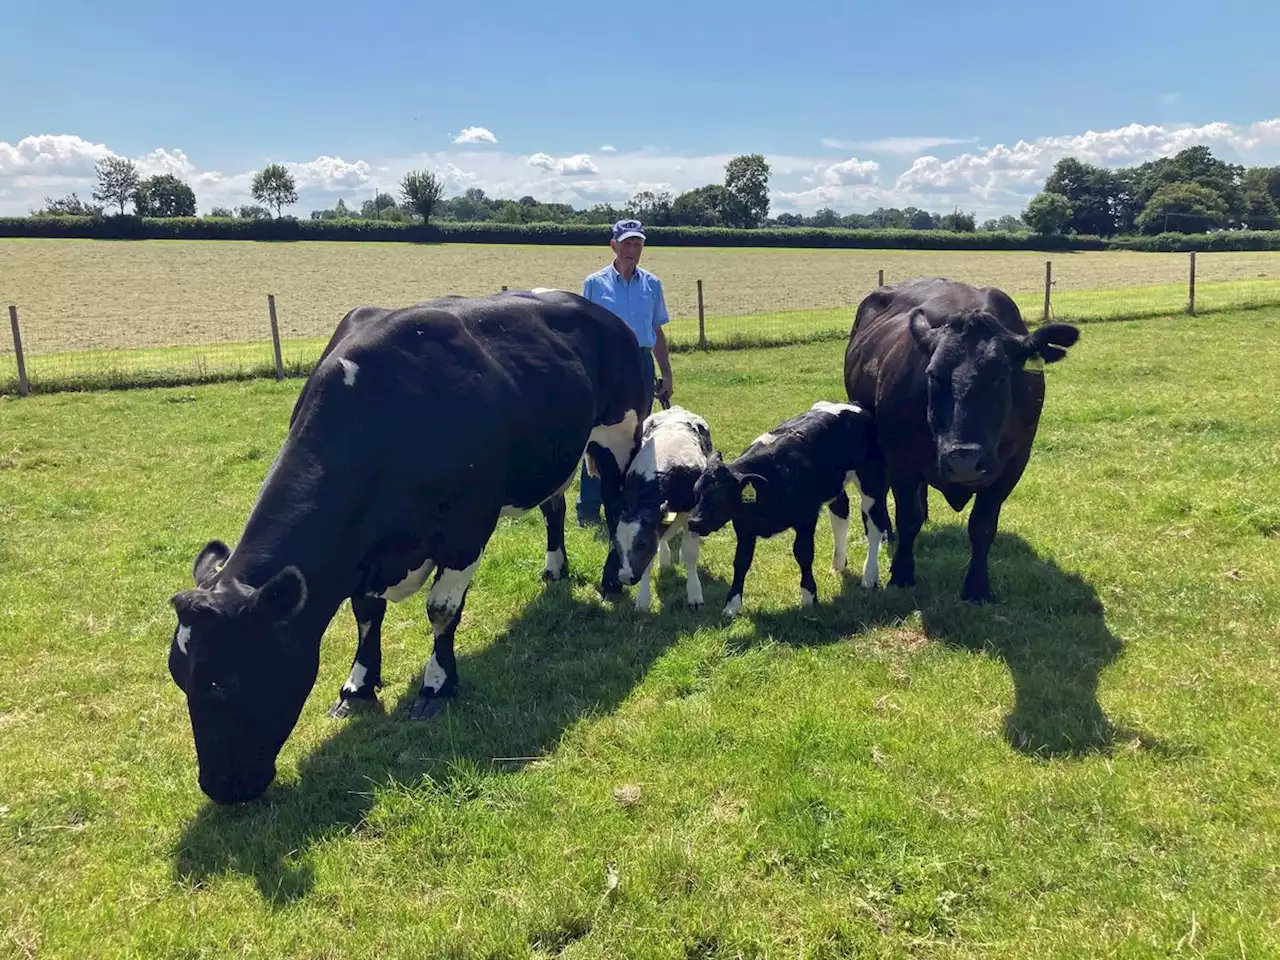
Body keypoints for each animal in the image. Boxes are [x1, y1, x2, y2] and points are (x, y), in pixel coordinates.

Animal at [167, 289, 650, 808]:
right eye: (179, 676)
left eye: (225, 682)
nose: (220, 789)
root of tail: (599, 311)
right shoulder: (364, 555)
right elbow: (365, 614)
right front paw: (358, 686)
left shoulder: (466, 529)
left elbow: (441, 611)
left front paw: (436, 687)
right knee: (554, 507)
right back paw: (555, 568)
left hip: (619, 433)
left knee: (617, 502)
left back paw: (613, 580)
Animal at [614, 401, 716, 611]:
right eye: (617, 544)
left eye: (642, 543)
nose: (625, 578)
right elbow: (649, 560)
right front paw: (643, 600)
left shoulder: (691, 513)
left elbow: (690, 554)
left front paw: (695, 594)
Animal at [686, 401, 896, 619]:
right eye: (696, 492)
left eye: (720, 496)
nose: (694, 522)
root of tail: (854, 406)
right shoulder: (744, 526)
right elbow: (741, 561)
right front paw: (731, 606)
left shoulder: (806, 517)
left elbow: (803, 553)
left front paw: (809, 597)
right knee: (840, 515)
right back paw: (838, 564)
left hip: (871, 482)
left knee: (874, 525)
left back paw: (869, 576)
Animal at [844, 276, 1085, 601]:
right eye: (933, 374)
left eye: (1001, 376)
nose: (964, 461)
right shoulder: (901, 460)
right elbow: (908, 518)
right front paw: (902, 574)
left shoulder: (1013, 464)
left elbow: (982, 526)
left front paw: (977, 588)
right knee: (880, 496)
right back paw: (884, 533)